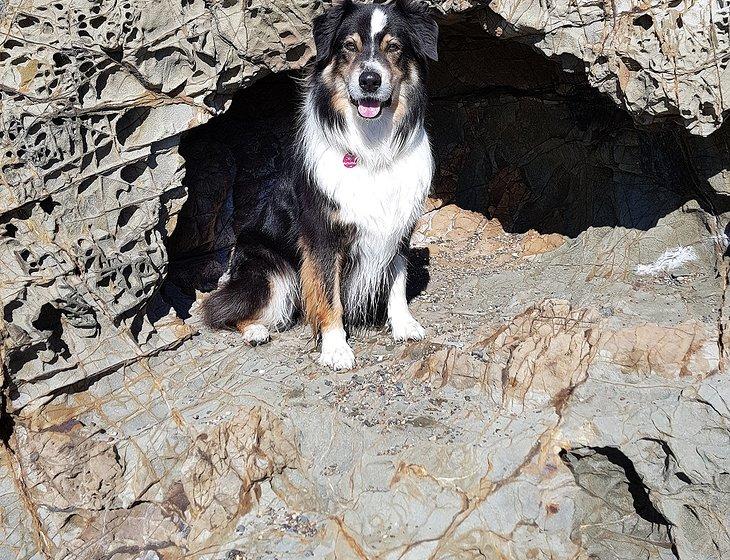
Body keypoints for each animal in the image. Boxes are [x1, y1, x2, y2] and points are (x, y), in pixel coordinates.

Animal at [200, 1, 438, 372]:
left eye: (394, 47)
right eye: (349, 47)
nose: (369, 80)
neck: (372, 148)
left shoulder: (399, 225)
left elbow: (396, 279)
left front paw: (403, 324)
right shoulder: (322, 238)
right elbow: (328, 297)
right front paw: (336, 349)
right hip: (271, 270)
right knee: (225, 308)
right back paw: (254, 330)